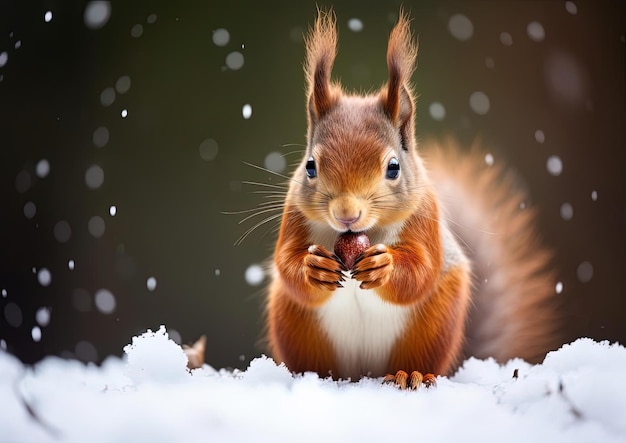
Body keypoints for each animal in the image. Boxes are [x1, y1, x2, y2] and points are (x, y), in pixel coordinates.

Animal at [184, 7, 556, 388]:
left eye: (393, 167)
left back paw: (411, 374)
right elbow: (286, 263)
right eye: (310, 166)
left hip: (432, 326)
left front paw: (385, 266)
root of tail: (362, 374)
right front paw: (312, 267)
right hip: (295, 322)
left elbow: (421, 270)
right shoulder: (294, 215)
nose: (346, 213)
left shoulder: (425, 217)